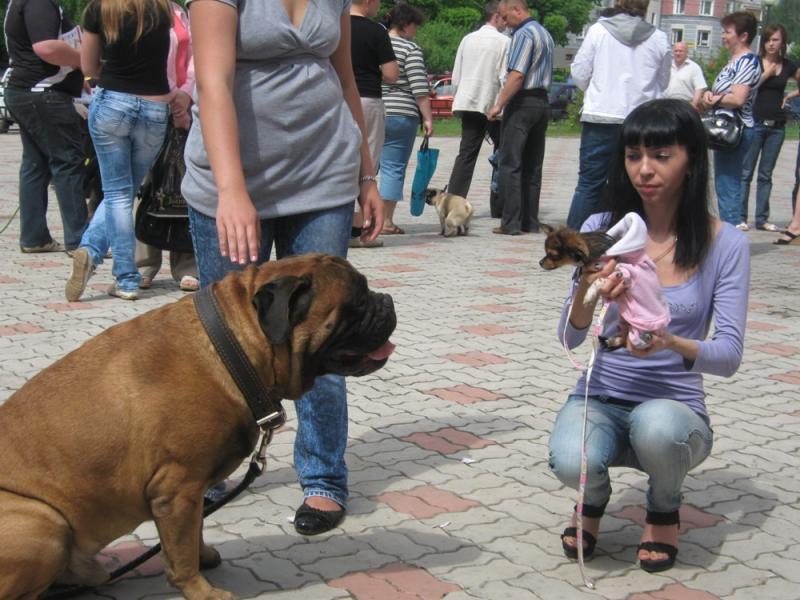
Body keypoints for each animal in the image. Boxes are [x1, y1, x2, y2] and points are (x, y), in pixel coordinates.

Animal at [0, 254, 396, 600]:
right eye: (358, 303)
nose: (387, 300)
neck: (233, 349)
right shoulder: (178, 489)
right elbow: (181, 554)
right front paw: (202, 590)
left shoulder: (192, 492)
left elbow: (195, 532)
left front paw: (205, 556)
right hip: (44, 522)